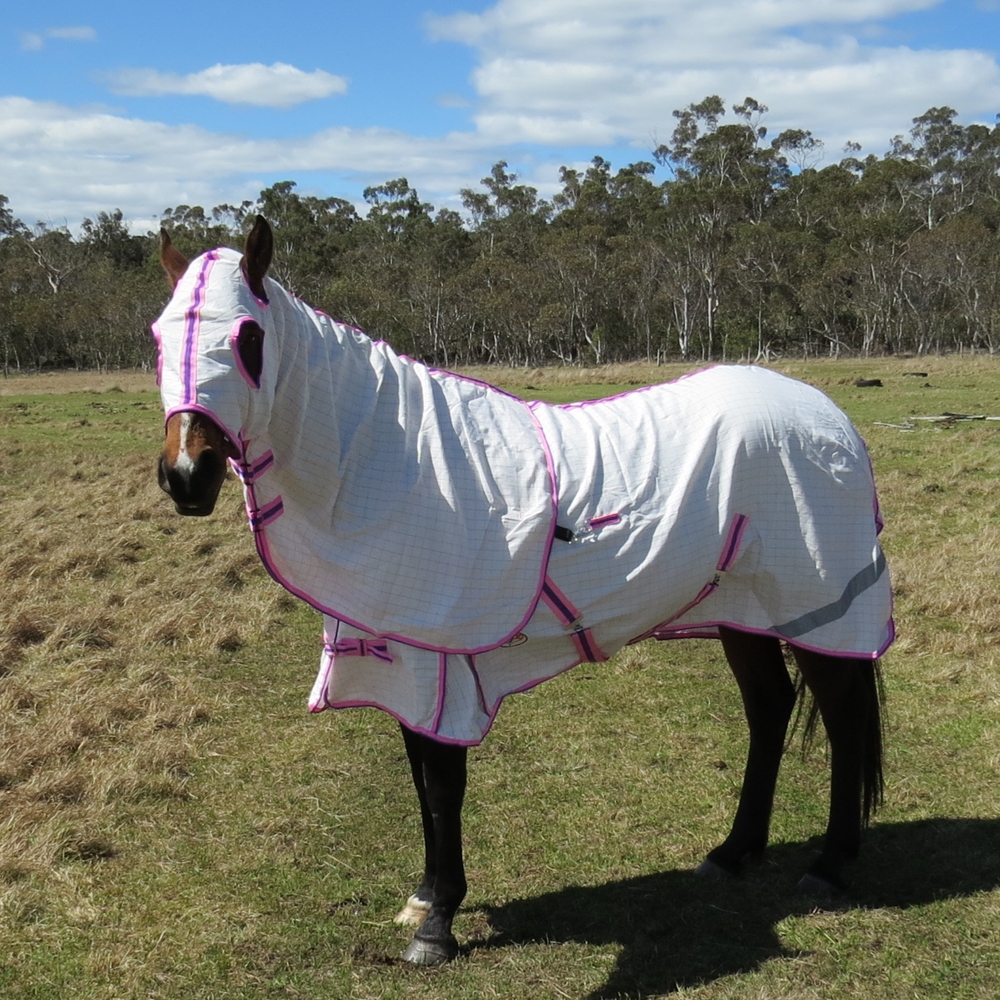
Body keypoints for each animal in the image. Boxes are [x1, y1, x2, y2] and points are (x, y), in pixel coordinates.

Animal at [154, 216, 892, 966]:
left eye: (248, 338)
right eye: (157, 336)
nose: (187, 475)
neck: (391, 463)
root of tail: (826, 415)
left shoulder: (441, 660)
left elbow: (442, 785)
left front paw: (437, 924)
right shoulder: (409, 660)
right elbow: (420, 773)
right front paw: (425, 896)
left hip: (819, 610)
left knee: (842, 715)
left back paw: (829, 866)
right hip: (745, 613)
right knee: (769, 708)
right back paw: (733, 851)